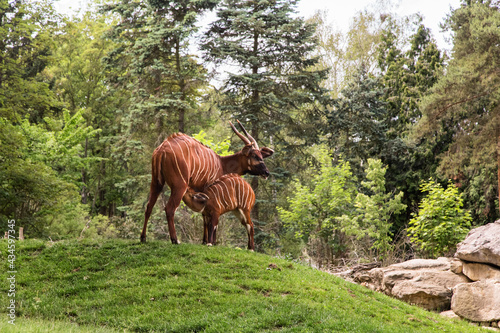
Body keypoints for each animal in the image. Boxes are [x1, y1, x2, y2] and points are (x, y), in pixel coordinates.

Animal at [141, 120, 274, 243]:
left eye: (261, 155)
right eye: (254, 156)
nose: (267, 172)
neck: (222, 164)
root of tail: (161, 149)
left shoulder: (202, 190)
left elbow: (204, 215)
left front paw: (204, 241)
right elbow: (210, 218)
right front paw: (210, 242)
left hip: (156, 182)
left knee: (148, 207)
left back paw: (143, 238)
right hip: (179, 185)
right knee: (169, 209)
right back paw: (175, 240)